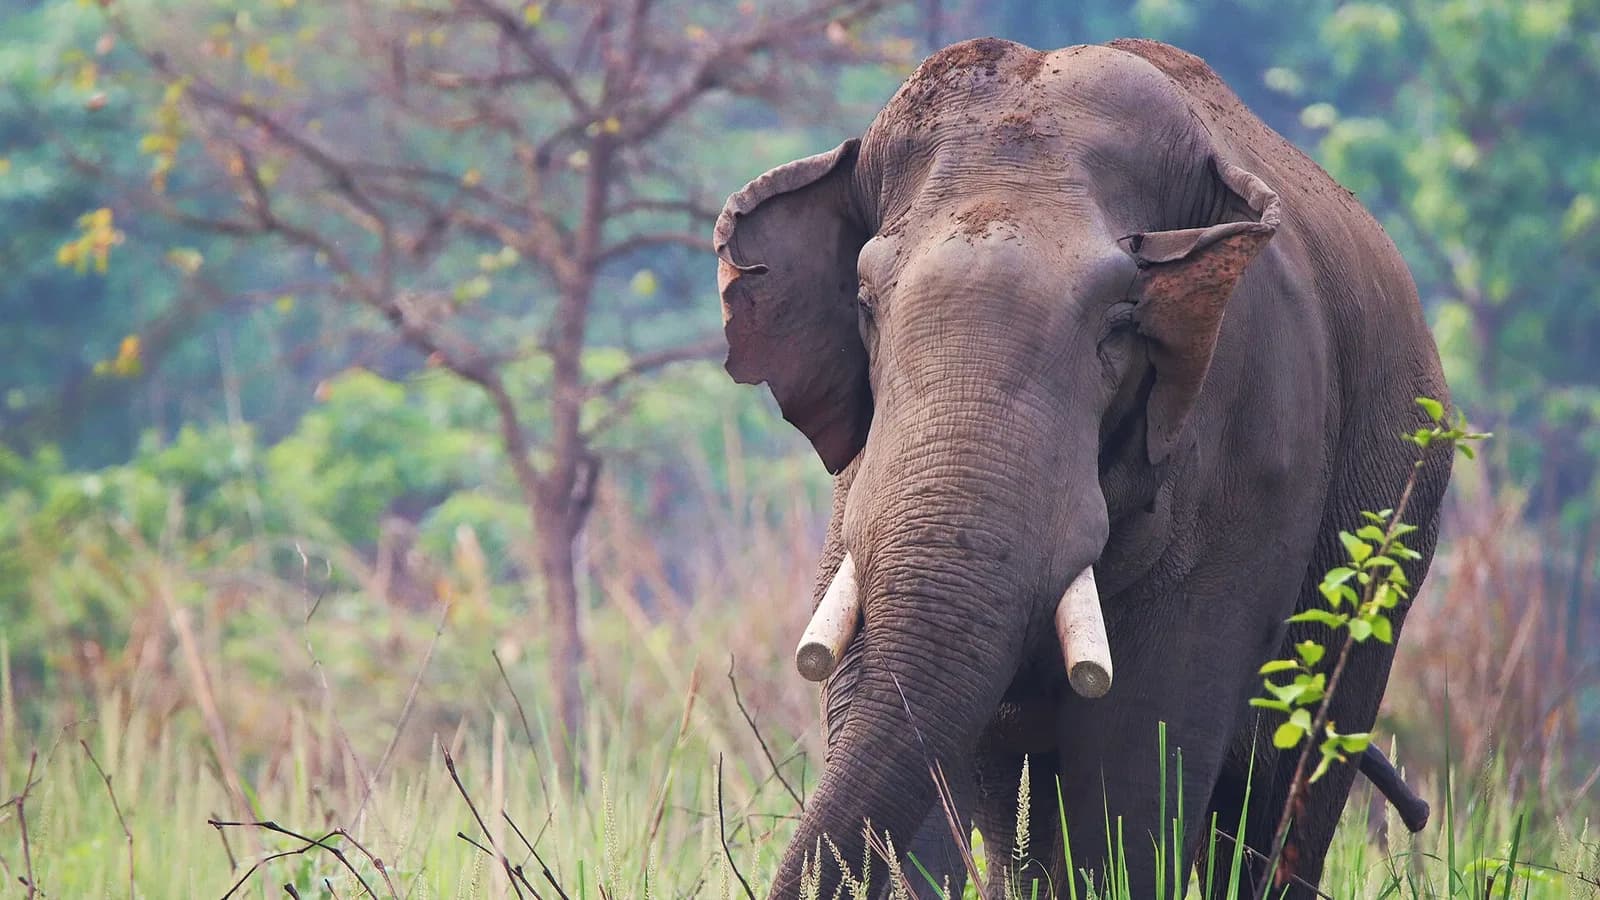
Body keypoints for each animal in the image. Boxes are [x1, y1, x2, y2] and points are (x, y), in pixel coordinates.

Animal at [713, 37, 1452, 899]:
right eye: (865, 303)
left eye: (1119, 323)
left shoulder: (1256, 439)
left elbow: (1136, 759)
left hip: (1386, 551)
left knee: (1283, 797)